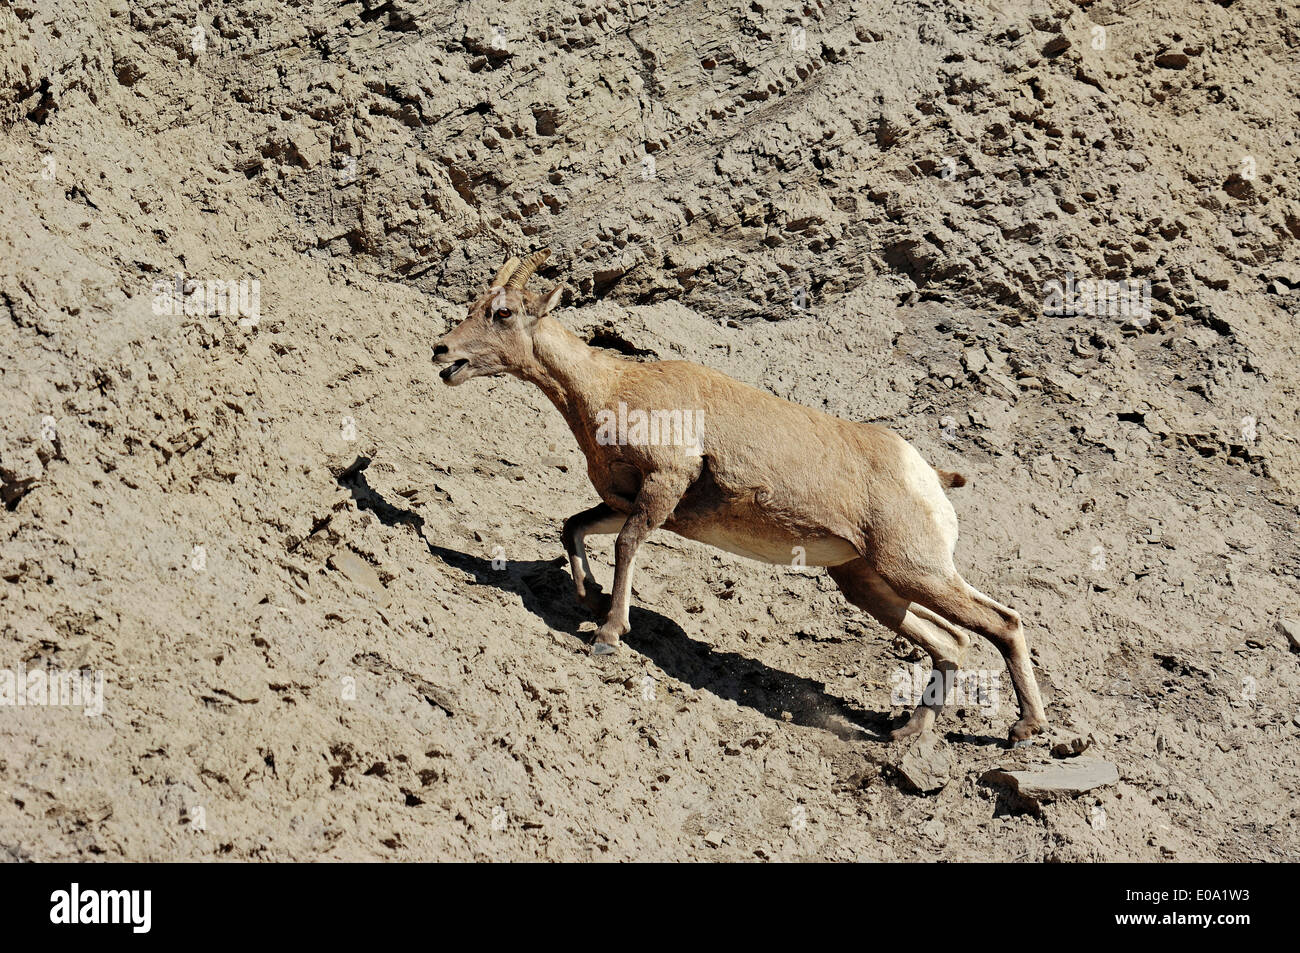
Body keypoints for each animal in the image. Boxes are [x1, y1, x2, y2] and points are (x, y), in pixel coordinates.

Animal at [434, 249, 1045, 738]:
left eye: (503, 313)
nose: (442, 352)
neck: (608, 389)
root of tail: (929, 477)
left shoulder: (663, 486)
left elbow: (626, 546)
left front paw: (608, 632)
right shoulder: (630, 502)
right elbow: (573, 526)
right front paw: (587, 596)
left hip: (915, 569)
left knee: (1002, 623)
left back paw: (1025, 729)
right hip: (869, 584)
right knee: (950, 642)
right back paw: (908, 734)